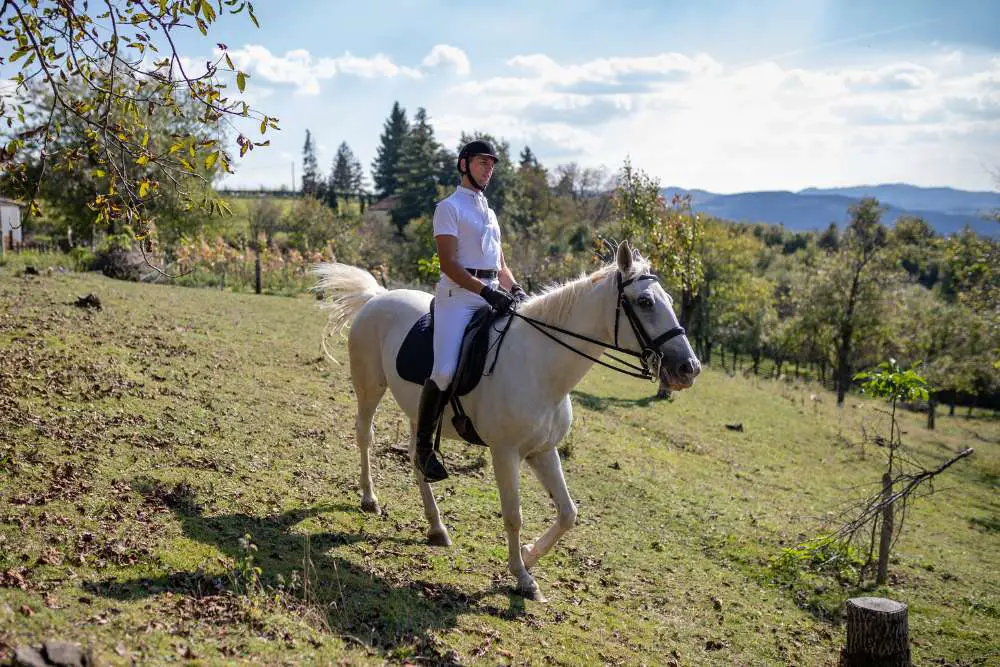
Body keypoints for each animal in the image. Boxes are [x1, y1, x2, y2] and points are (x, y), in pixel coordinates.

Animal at [314, 241, 704, 600]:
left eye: (667, 298)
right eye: (646, 302)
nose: (689, 368)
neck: (541, 365)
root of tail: (378, 297)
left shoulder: (543, 451)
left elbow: (568, 513)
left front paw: (529, 556)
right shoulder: (505, 453)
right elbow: (513, 514)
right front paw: (522, 578)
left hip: (417, 412)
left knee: (417, 457)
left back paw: (437, 528)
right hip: (371, 387)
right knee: (365, 435)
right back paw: (369, 499)